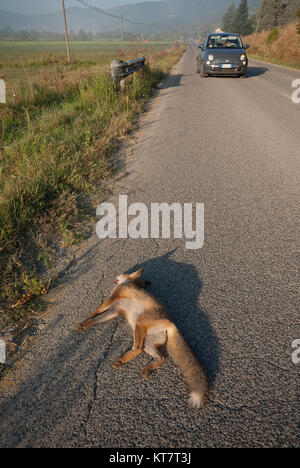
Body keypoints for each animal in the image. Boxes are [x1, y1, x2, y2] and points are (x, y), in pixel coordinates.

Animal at [76, 268, 210, 408]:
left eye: (125, 273)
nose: (117, 276)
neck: (130, 283)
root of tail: (171, 324)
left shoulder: (113, 298)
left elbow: (95, 312)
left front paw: (84, 321)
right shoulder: (114, 310)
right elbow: (95, 319)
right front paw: (85, 325)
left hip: (138, 324)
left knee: (138, 349)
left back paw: (121, 360)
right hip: (147, 343)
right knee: (161, 357)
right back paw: (146, 367)